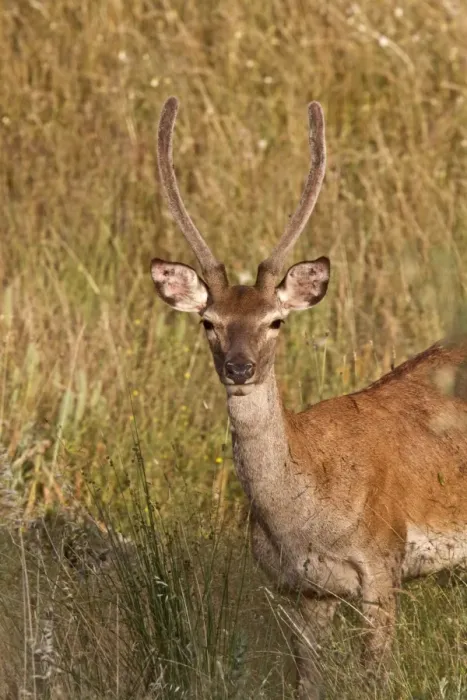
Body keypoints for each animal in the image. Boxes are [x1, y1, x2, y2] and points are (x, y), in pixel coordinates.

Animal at [150, 96, 467, 698]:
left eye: (275, 321)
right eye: (208, 322)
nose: (240, 367)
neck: (304, 521)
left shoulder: (382, 564)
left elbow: (376, 678)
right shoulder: (298, 588)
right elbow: (307, 680)